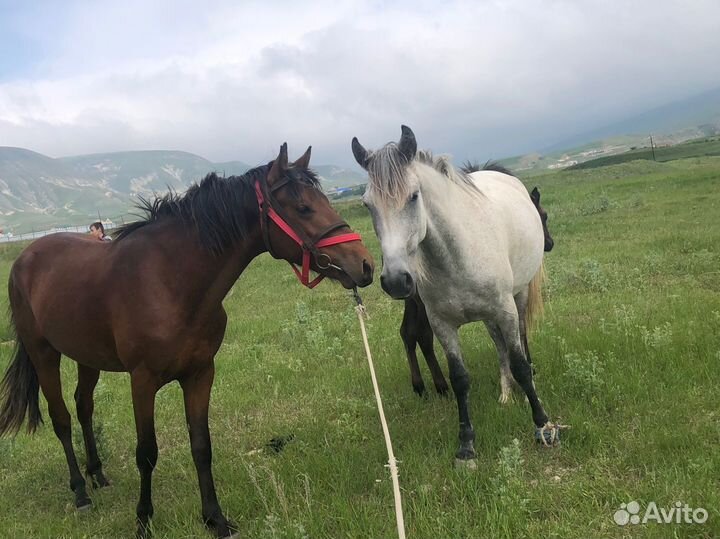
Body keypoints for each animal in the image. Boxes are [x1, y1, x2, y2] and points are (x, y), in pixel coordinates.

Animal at [0, 143, 374, 538]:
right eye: (303, 207)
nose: (365, 265)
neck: (170, 282)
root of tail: (25, 258)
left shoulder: (200, 374)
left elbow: (201, 446)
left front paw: (215, 518)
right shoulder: (142, 381)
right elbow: (146, 453)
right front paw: (143, 520)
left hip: (87, 356)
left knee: (84, 406)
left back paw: (98, 474)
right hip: (44, 354)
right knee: (62, 418)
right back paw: (80, 492)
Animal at [400, 162, 555, 401]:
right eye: (544, 216)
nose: (549, 243)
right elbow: (518, 332)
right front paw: (526, 370)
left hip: (415, 302)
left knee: (411, 334)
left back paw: (425, 386)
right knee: (420, 335)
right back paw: (438, 385)